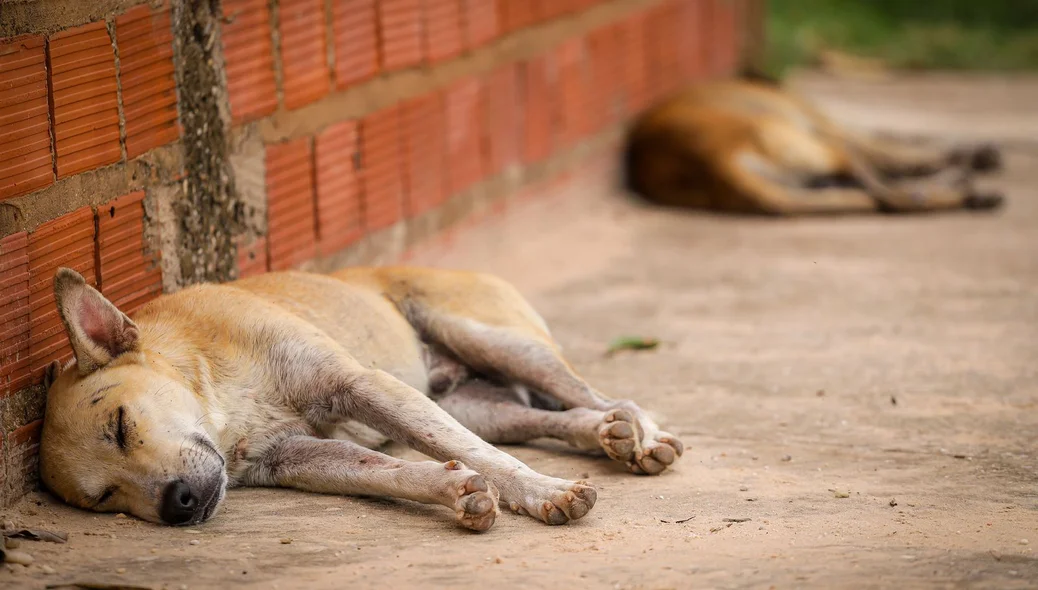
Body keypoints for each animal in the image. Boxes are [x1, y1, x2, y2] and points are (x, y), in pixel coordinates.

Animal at [38, 267, 680, 529]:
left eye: (121, 425)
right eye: (104, 498)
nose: (180, 505)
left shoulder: (359, 385)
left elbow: (479, 457)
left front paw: (544, 491)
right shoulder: (297, 459)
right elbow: (391, 471)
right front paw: (454, 491)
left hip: (495, 341)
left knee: (602, 394)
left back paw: (641, 434)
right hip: (478, 405)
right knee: (556, 417)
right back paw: (606, 433)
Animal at [618, 75, 1000, 213]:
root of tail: (711, 158)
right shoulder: (831, 129)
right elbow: (899, 152)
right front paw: (968, 157)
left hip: (810, 176)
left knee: (872, 194)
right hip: (820, 147)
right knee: (892, 196)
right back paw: (965, 191)